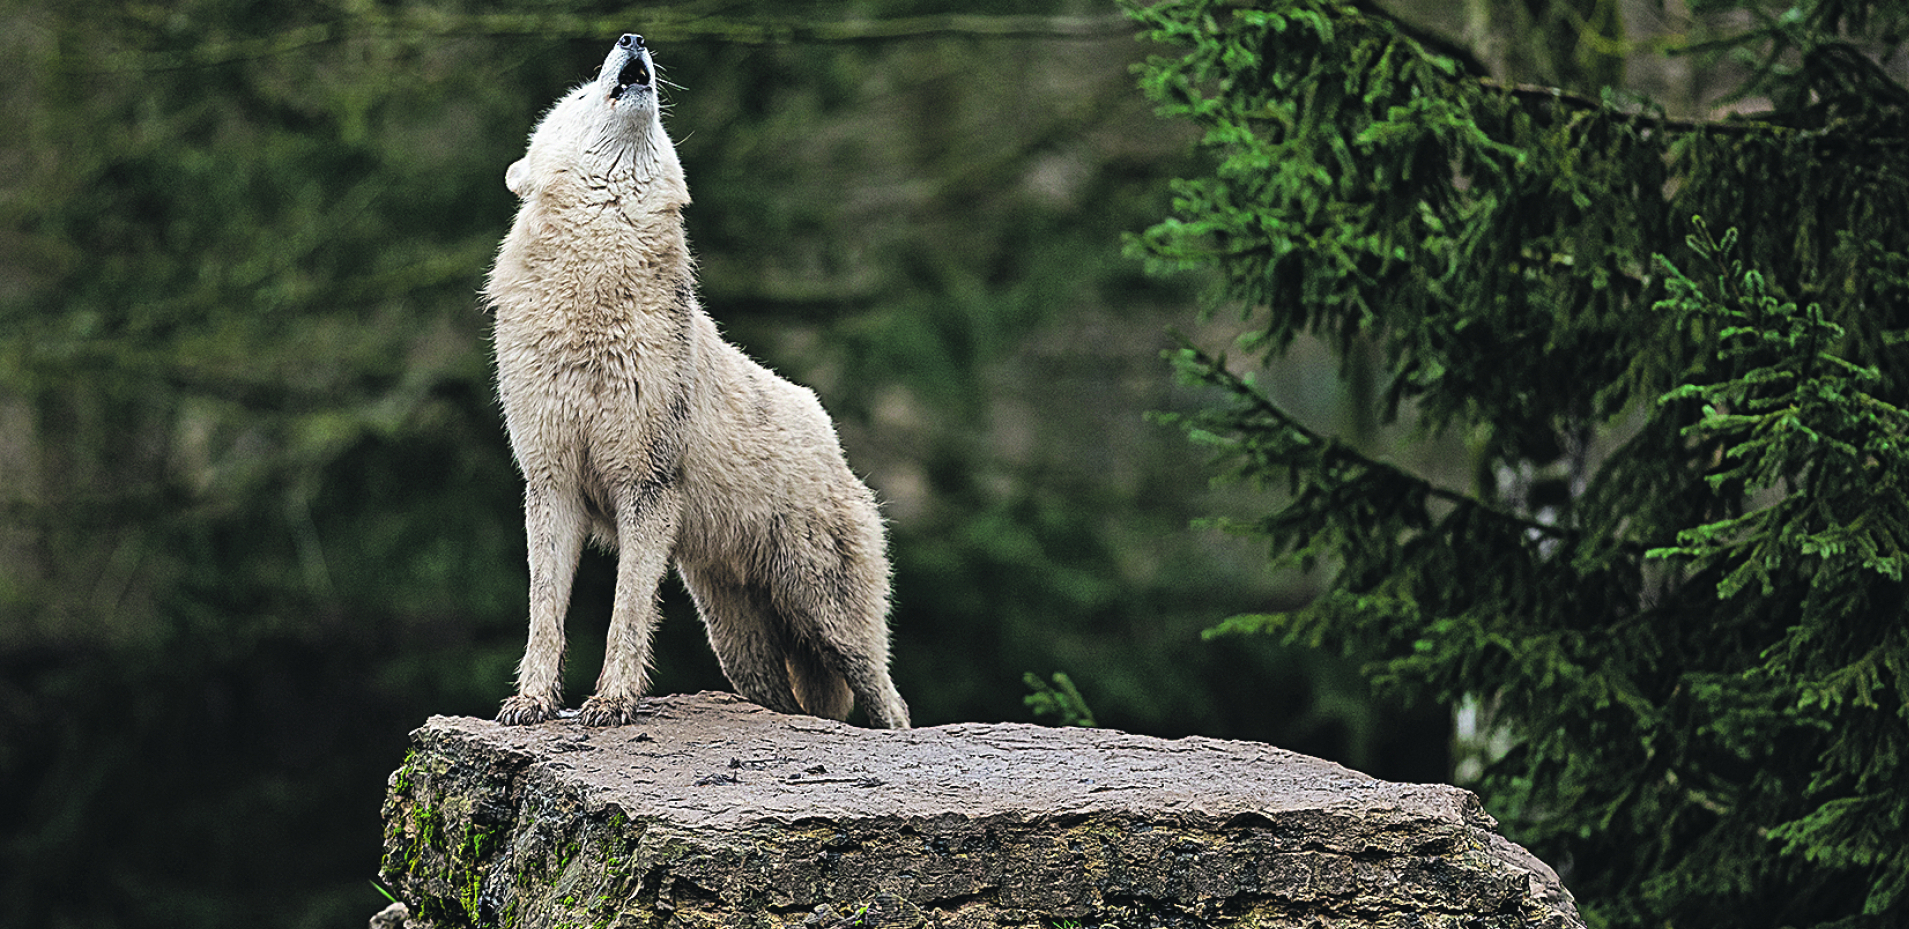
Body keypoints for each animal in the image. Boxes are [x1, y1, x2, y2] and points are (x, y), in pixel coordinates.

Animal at [481, 36, 904, 732]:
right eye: (578, 94)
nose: (632, 40)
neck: (595, 295)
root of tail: (830, 435)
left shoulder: (645, 488)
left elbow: (626, 613)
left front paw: (612, 701)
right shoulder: (552, 486)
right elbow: (545, 614)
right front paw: (533, 702)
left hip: (831, 623)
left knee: (889, 702)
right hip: (741, 645)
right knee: (783, 700)